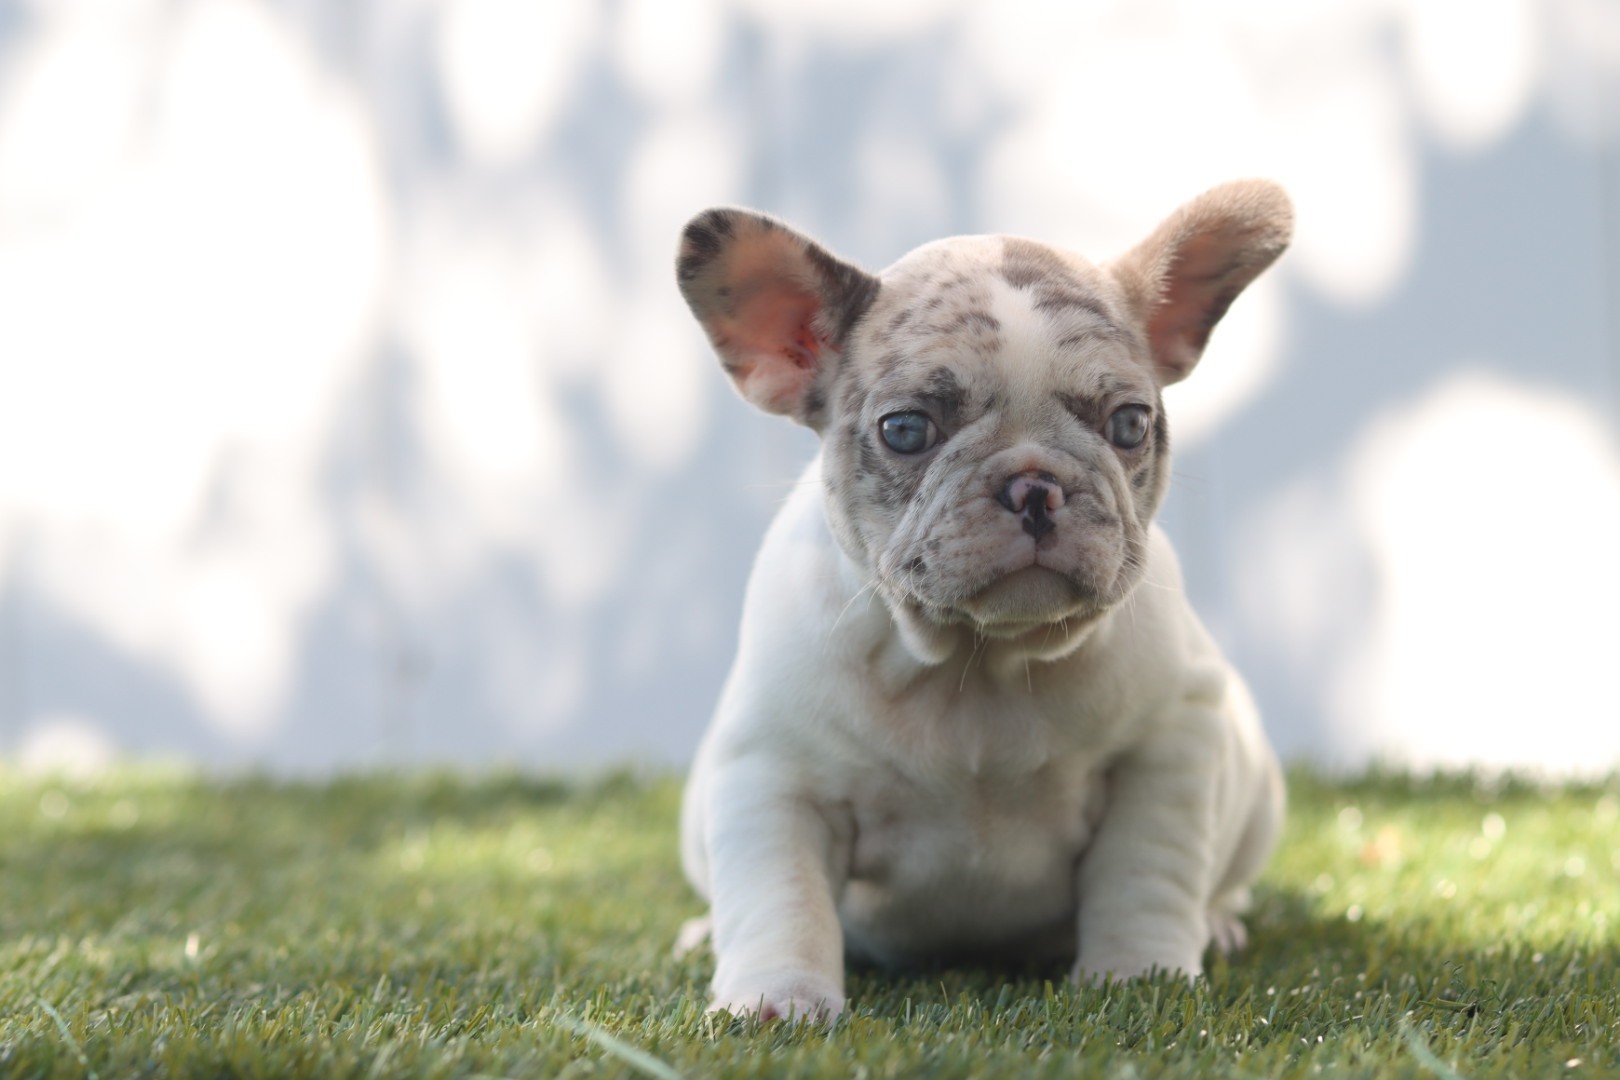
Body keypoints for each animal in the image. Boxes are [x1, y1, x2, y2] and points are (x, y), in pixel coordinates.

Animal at [670, 179, 1289, 1023]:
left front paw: (1141, 975)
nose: (1034, 484)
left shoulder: (1165, 752)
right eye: (905, 429)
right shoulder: (774, 776)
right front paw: (777, 1001)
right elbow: (781, 899)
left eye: (1130, 423)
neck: (982, 658)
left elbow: (1143, 877)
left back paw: (1219, 923)